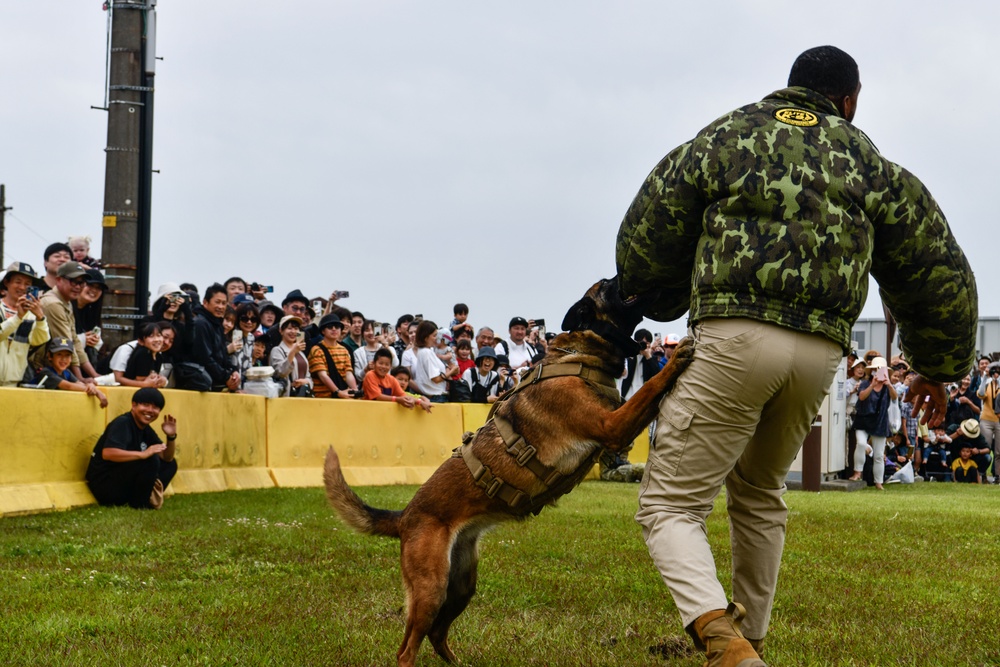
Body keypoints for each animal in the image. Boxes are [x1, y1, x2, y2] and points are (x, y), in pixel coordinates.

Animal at [324, 278, 692, 667]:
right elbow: (650, 387)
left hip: (462, 584)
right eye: (610, 285)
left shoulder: (615, 429)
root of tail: (405, 515)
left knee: (438, 634)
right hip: (431, 589)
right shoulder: (612, 425)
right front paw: (677, 356)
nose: (626, 275)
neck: (580, 355)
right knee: (407, 649)